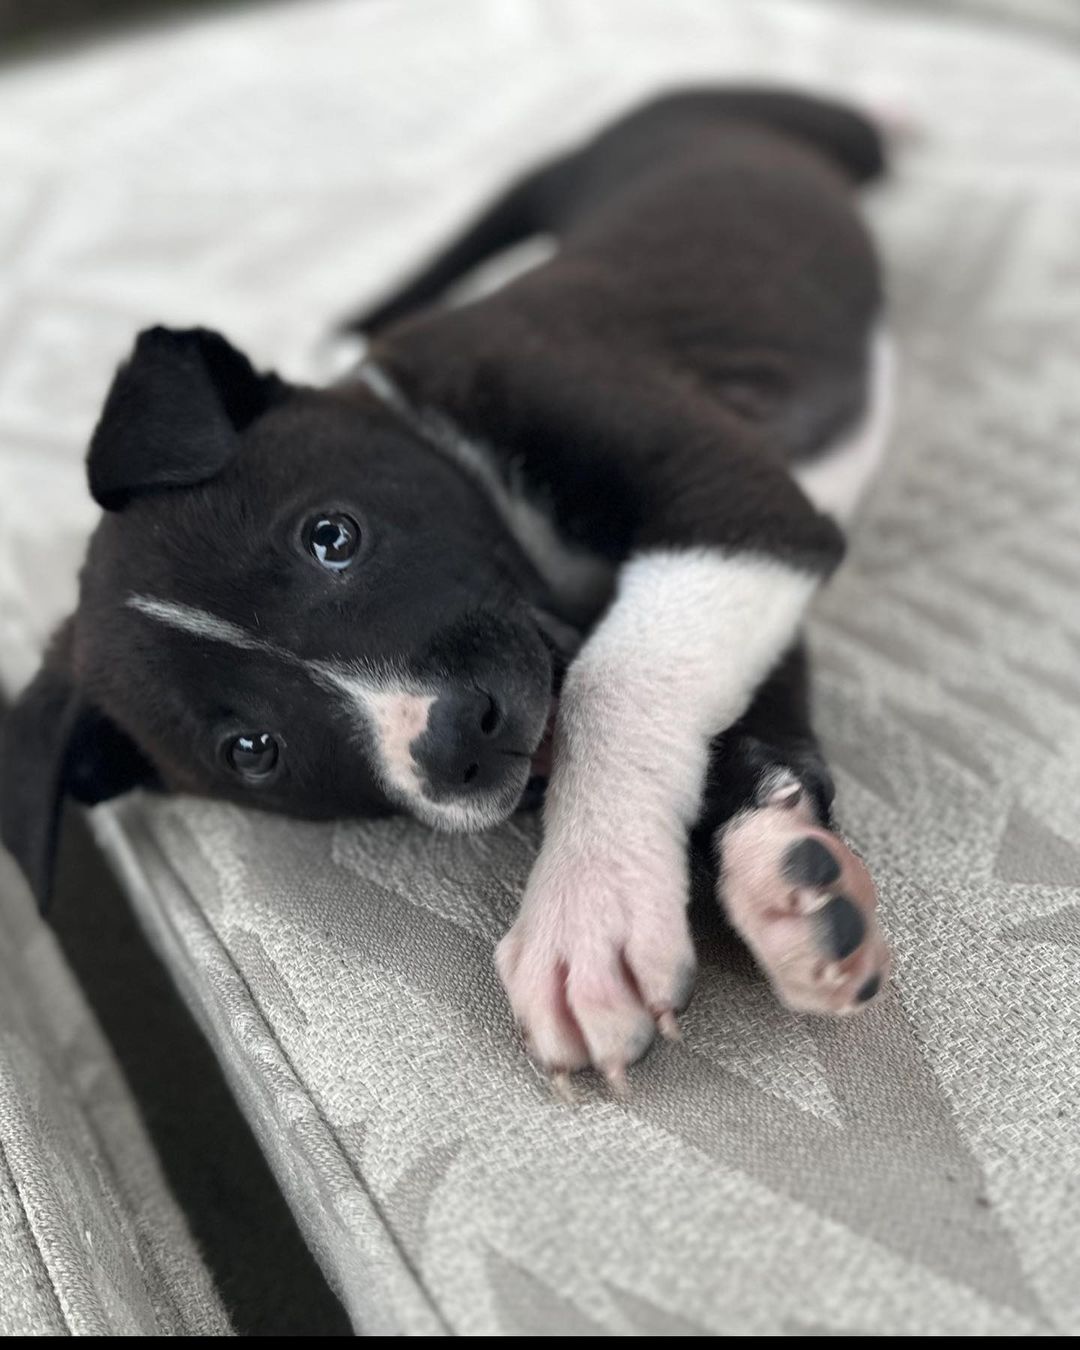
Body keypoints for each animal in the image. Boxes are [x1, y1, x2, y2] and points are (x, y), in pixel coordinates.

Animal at [0, 89, 896, 1085]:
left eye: (332, 536)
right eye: (252, 750)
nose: (455, 738)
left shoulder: (741, 506)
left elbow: (616, 679)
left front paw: (591, 906)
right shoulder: (751, 549)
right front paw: (779, 869)